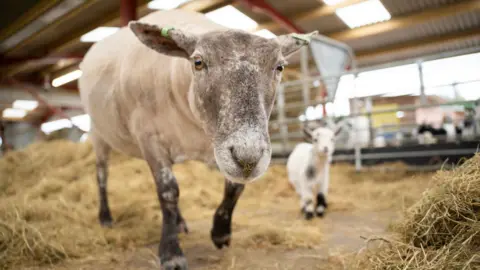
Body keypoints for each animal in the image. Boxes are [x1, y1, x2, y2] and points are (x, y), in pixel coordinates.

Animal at [79, 8, 316, 270]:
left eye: (280, 67)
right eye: (198, 62)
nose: (248, 158)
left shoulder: (218, 147)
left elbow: (233, 187)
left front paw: (221, 233)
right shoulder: (149, 137)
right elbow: (168, 191)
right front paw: (171, 252)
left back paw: (180, 222)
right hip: (98, 134)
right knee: (102, 175)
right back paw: (106, 217)